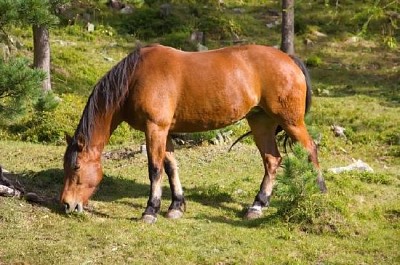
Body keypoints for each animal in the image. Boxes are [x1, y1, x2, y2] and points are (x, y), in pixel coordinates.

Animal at [61, 43, 326, 223]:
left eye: (76, 167)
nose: (67, 205)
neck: (134, 78)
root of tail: (288, 59)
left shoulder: (155, 128)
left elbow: (155, 169)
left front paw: (151, 210)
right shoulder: (165, 131)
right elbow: (170, 167)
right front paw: (176, 206)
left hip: (291, 121)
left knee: (310, 149)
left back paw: (319, 192)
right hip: (261, 121)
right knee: (272, 160)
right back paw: (257, 205)